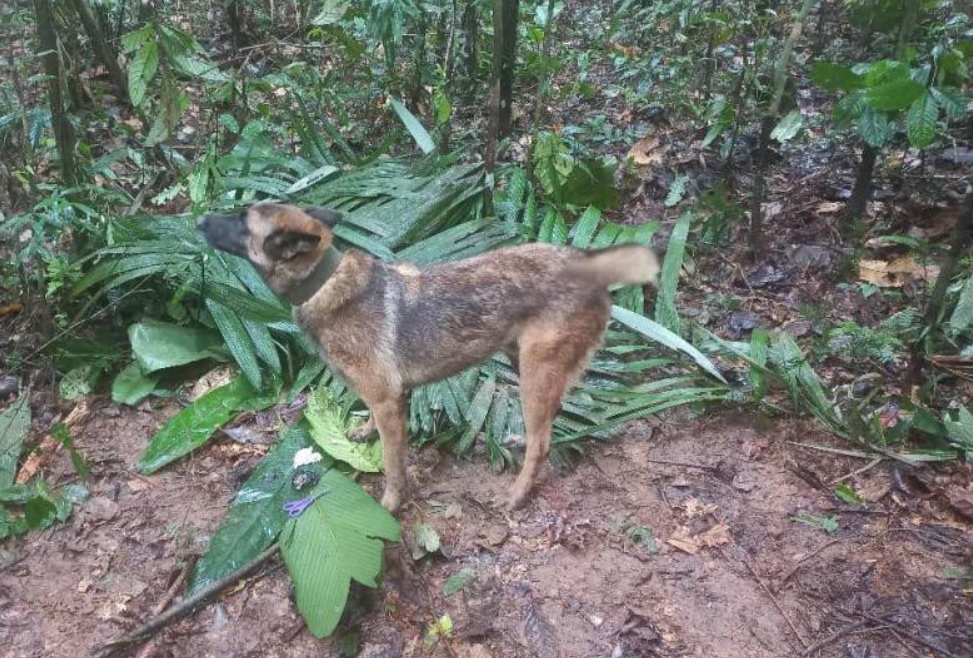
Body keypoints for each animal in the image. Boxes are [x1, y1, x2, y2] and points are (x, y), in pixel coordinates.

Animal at [196, 202, 660, 510]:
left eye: (241, 220)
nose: (198, 219)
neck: (324, 282)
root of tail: (588, 264)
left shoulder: (389, 402)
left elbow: (392, 464)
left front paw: (390, 504)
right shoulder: (383, 400)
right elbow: (372, 427)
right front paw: (363, 433)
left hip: (535, 371)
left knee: (543, 443)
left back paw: (516, 494)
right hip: (523, 363)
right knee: (547, 422)